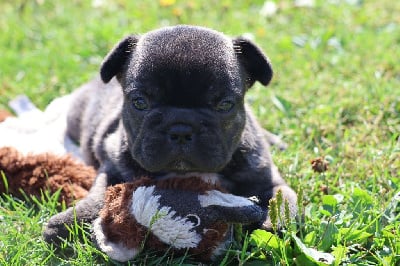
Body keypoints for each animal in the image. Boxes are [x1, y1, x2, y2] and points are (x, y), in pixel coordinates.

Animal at [43, 25, 296, 245]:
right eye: (140, 102)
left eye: (225, 105)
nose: (181, 128)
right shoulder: (113, 169)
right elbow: (101, 196)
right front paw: (68, 224)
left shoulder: (264, 178)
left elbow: (281, 199)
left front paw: (273, 223)